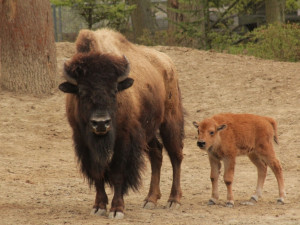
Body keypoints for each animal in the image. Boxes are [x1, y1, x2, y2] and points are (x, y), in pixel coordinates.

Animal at [58, 28, 184, 220]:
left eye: (114, 90)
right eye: (81, 92)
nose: (101, 123)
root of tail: (167, 62)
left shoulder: (124, 138)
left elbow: (118, 173)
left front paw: (117, 209)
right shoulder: (83, 141)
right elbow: (97, 172)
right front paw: (98, 207)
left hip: (170, 121)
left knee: (175, 155)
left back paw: (173, 201)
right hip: (148, 131)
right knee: (157, 154)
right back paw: (150, 200)